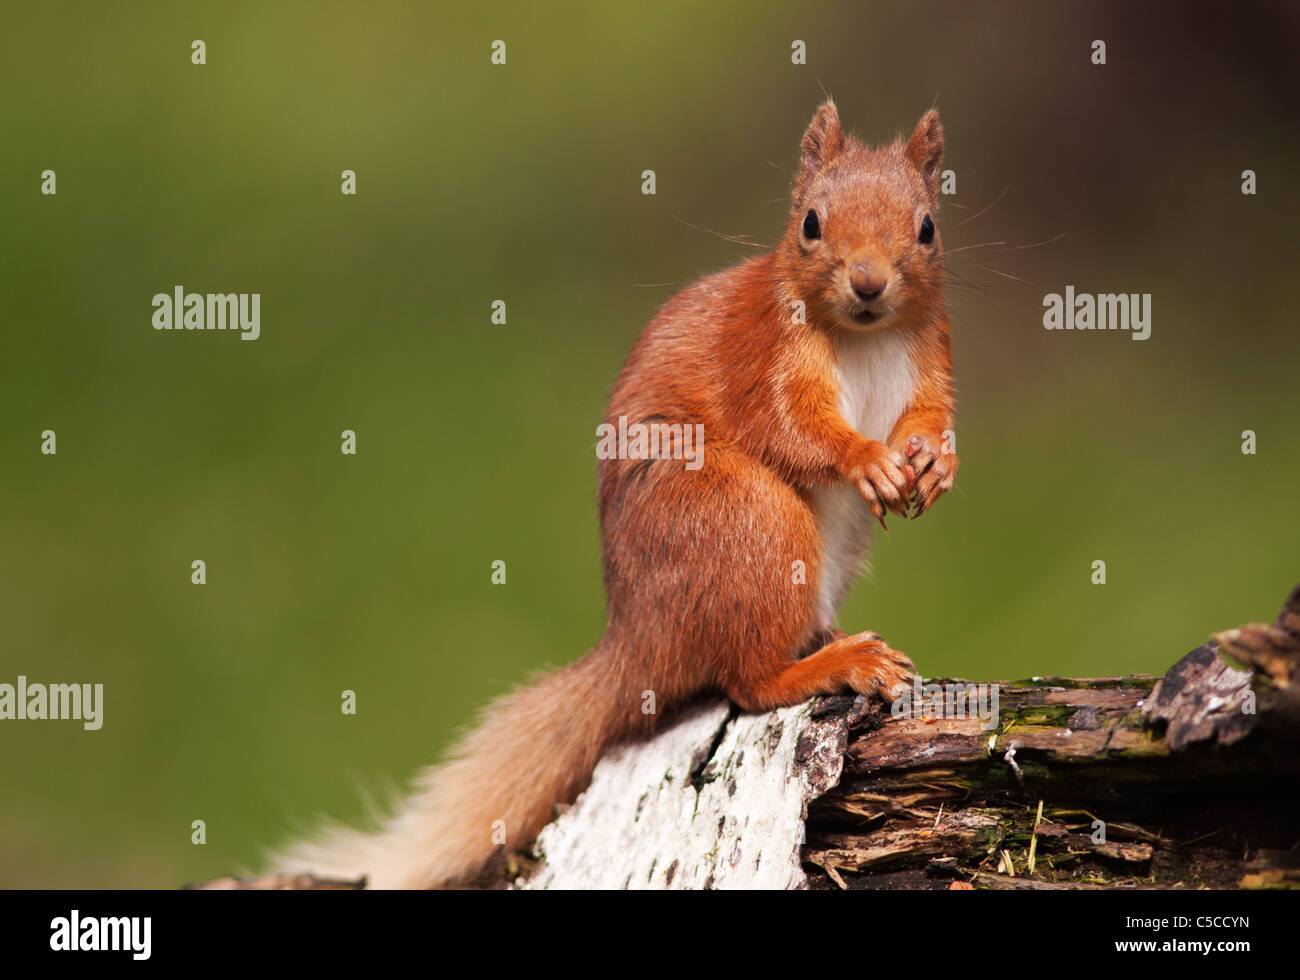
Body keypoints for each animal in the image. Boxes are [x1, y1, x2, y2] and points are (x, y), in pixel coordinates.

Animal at [279, 105, 956, 883]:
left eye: (927, 227)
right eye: (810, 223)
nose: (869, 282)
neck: (863, 336)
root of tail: (639, 638)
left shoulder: (930, 356)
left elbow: (932, 417)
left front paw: (935, 465)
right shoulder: (763, 357)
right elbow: (794, 429)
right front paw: (867, 458)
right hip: (748, 520)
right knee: (748, 681)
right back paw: (834, 665)